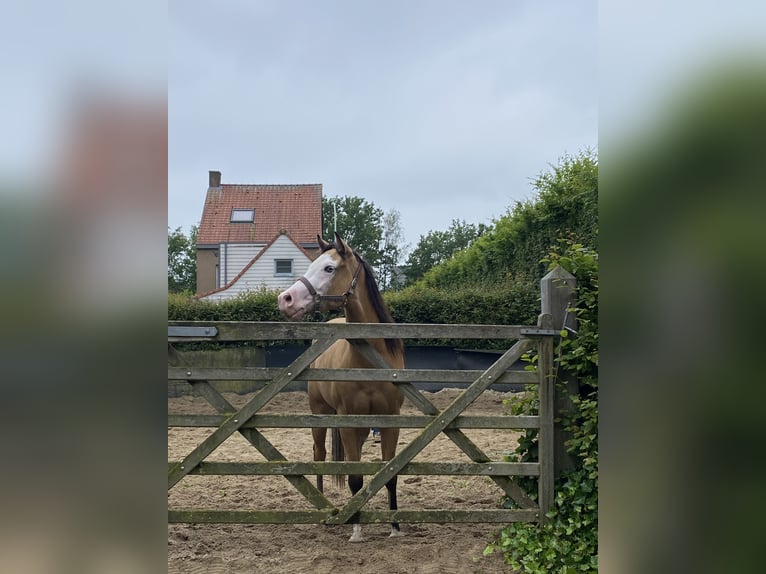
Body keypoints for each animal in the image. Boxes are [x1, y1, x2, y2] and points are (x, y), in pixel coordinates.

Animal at [278, 231, 408, 544]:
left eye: (329, 268)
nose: (285, 299)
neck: (368, 361)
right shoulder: (347, 422)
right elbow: (354, 476)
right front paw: (357, 530)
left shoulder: (390, 422)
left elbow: (389, 475)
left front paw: (395, 528)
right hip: (319, 415)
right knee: (319, 455)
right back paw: (324, 509)